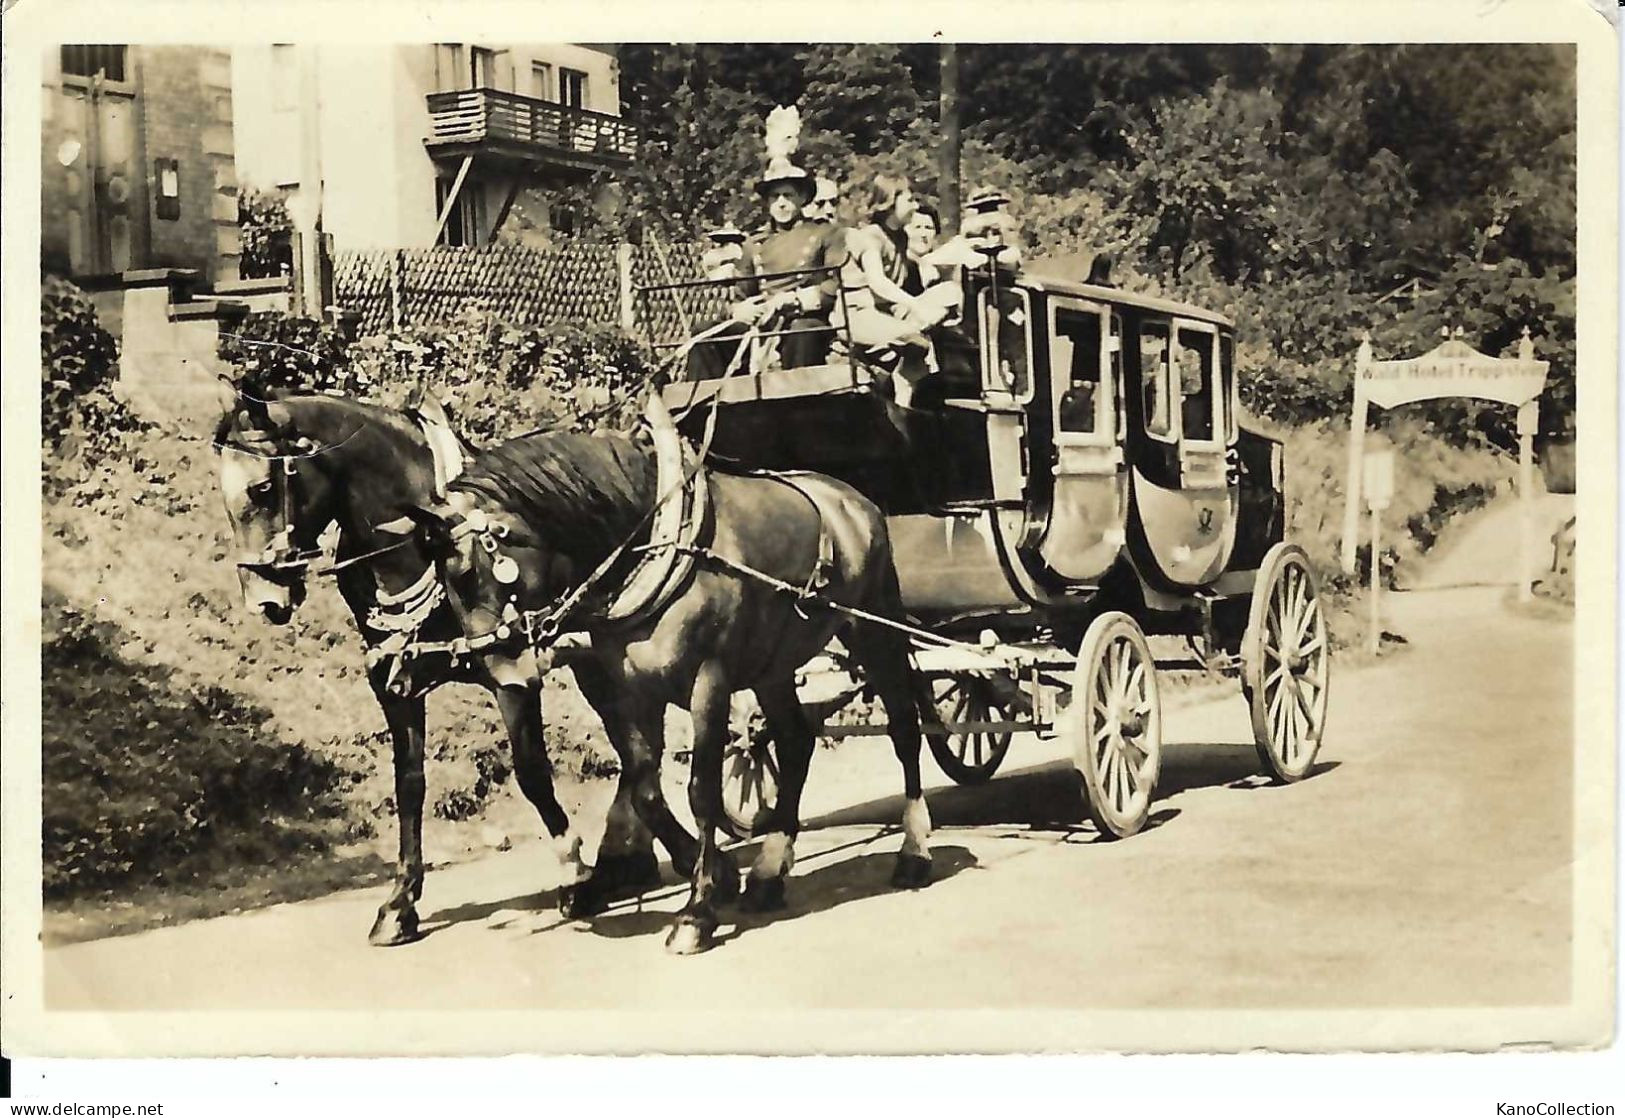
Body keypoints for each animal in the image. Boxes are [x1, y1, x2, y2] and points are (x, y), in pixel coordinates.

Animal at [212, 393, 669, 942]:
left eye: (262, 489)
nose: (264, 600)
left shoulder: (512, 669)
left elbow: (532, 772)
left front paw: (574, 869)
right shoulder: (393, 681)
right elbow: (409, 786)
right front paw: (399, 904)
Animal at [399, 406, 936, 955]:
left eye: (473, 571)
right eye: (442, 584)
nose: (503, 672)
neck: (657, 546)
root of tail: (853, 499)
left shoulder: (709, 681)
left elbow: (701, 791)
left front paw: (696, 911)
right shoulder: (628, 690)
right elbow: (645, 787)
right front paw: (719, 875)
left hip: (873, 628)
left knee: (904, 727)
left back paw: (914, 851)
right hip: (773, 666)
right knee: (795, 740)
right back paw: (768, 872)